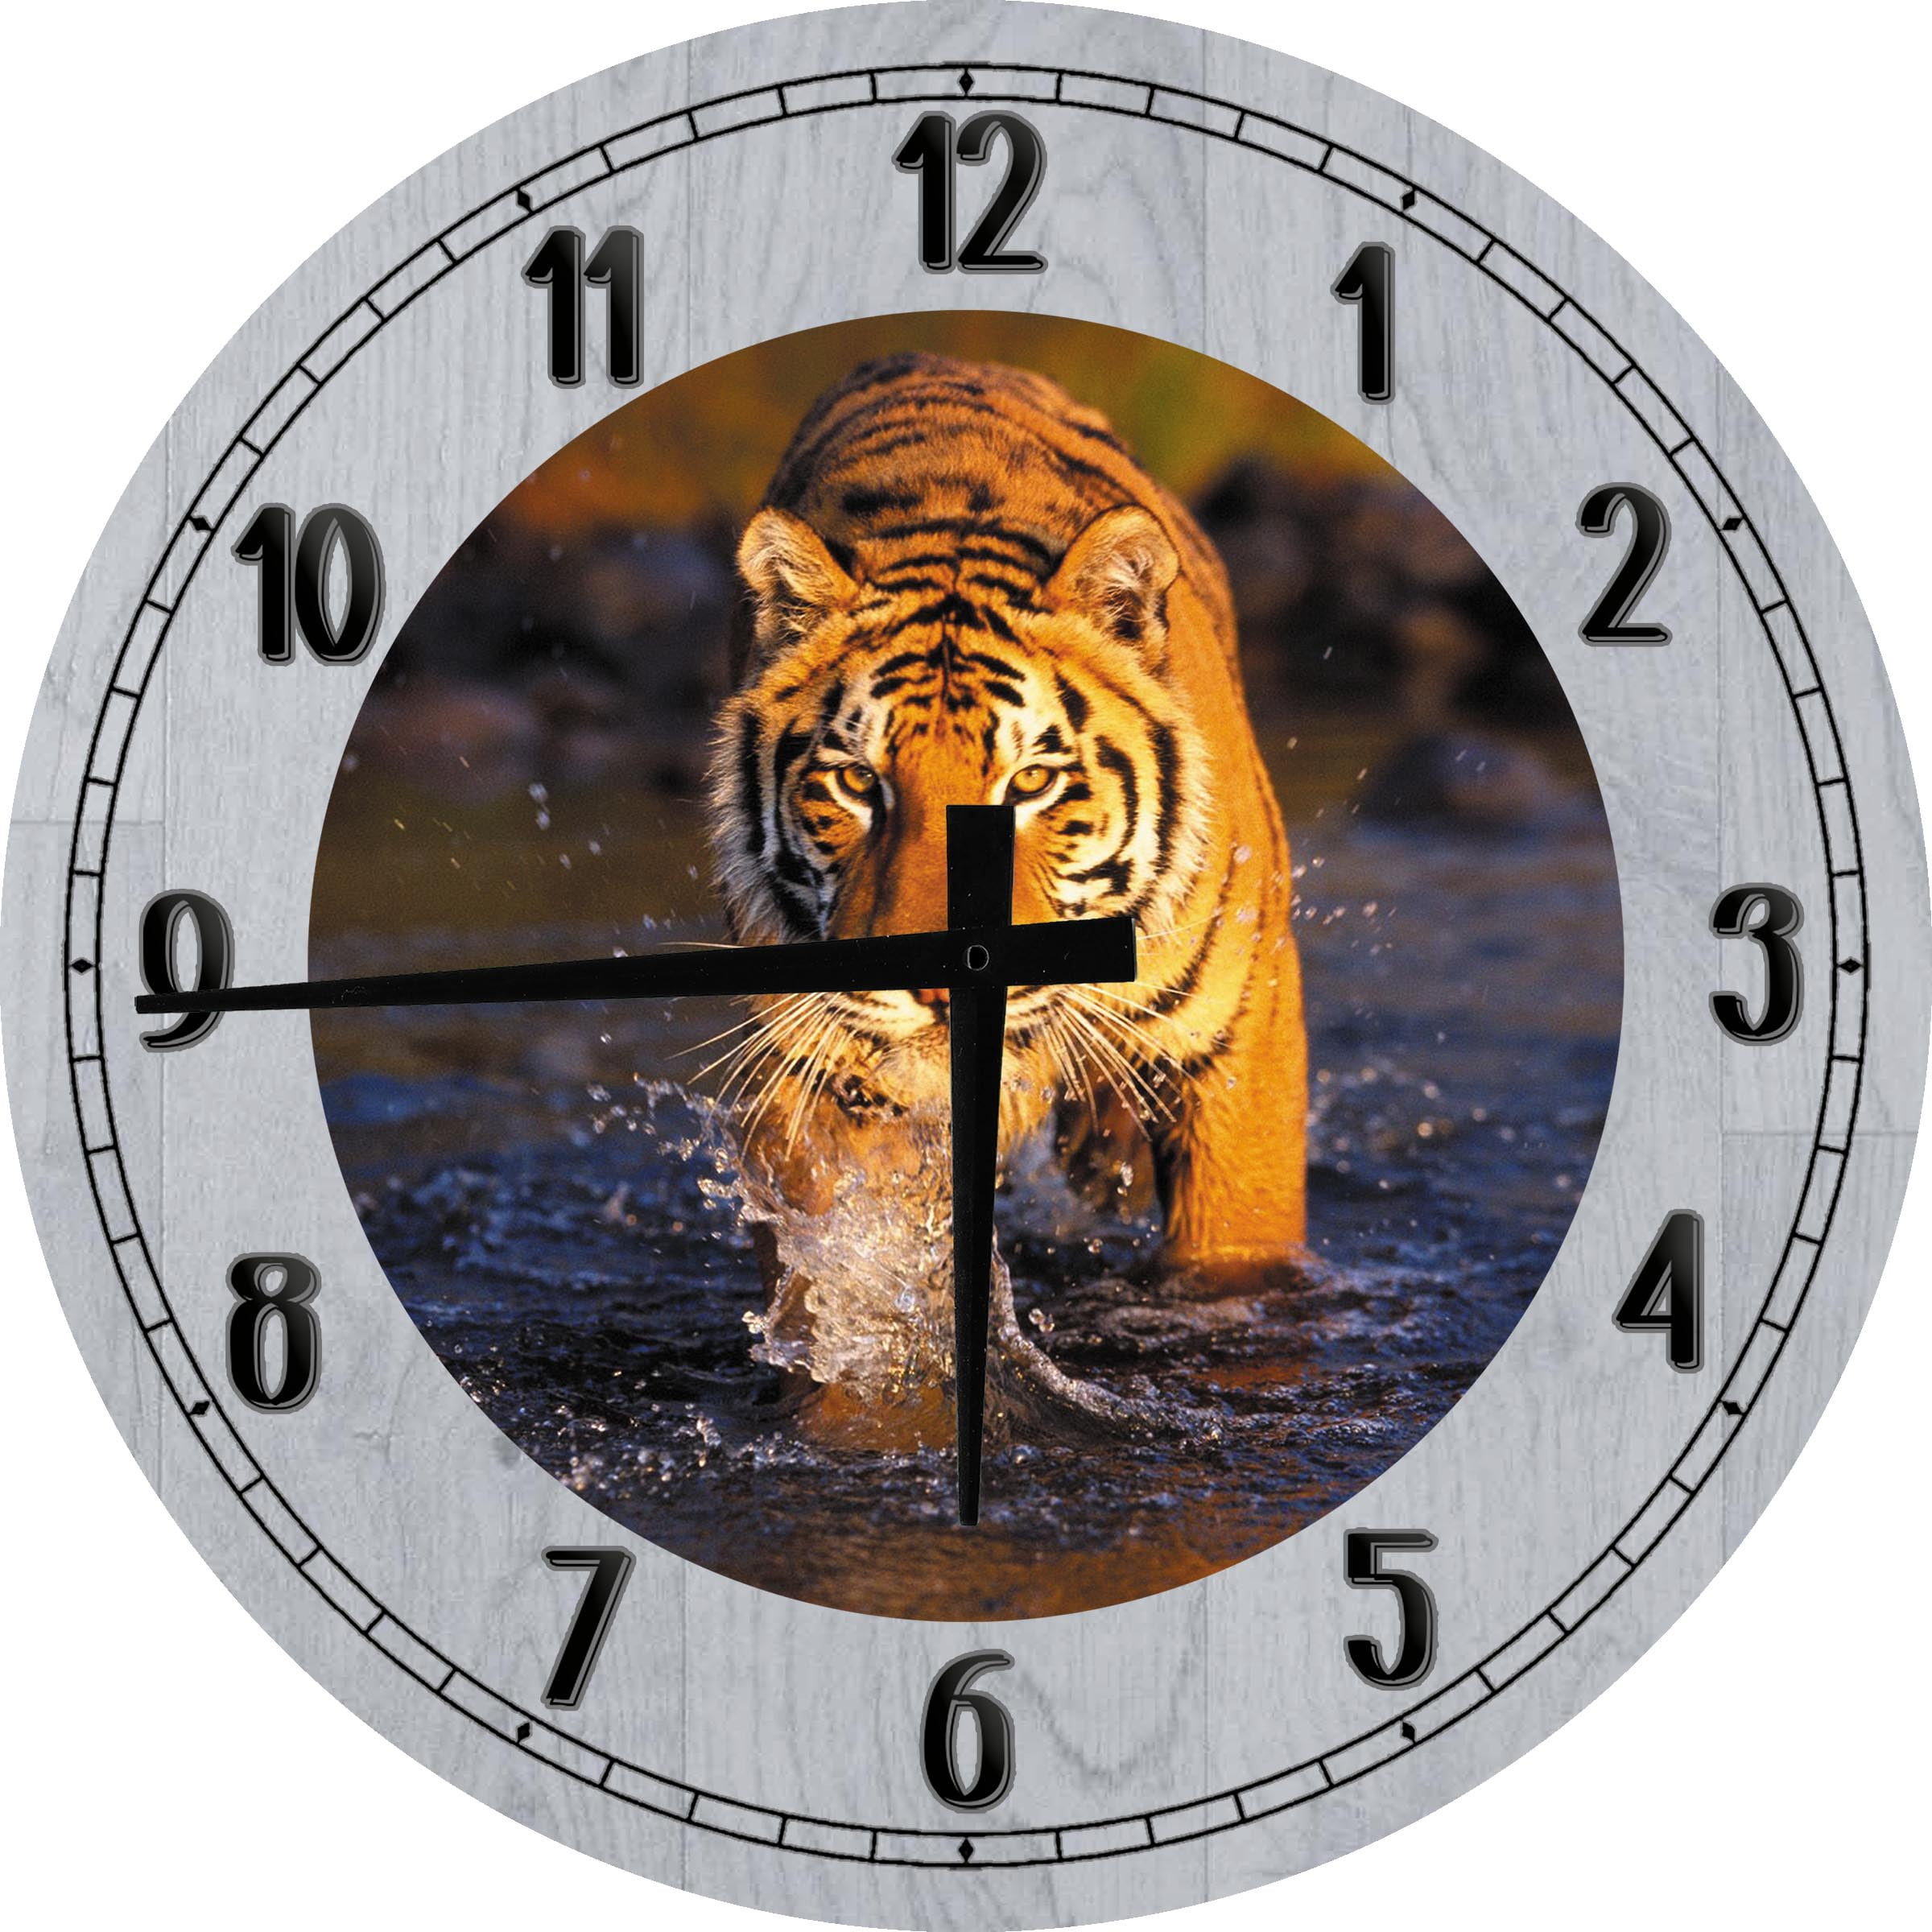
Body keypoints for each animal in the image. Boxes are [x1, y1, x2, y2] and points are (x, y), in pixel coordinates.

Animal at [706, 352, 1306, 1362]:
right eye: (858, 781)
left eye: (1029, 783)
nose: (940, 984)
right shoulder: (809, 1075)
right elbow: (832, 1290)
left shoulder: (1239, 1040)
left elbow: (1233, 1254)